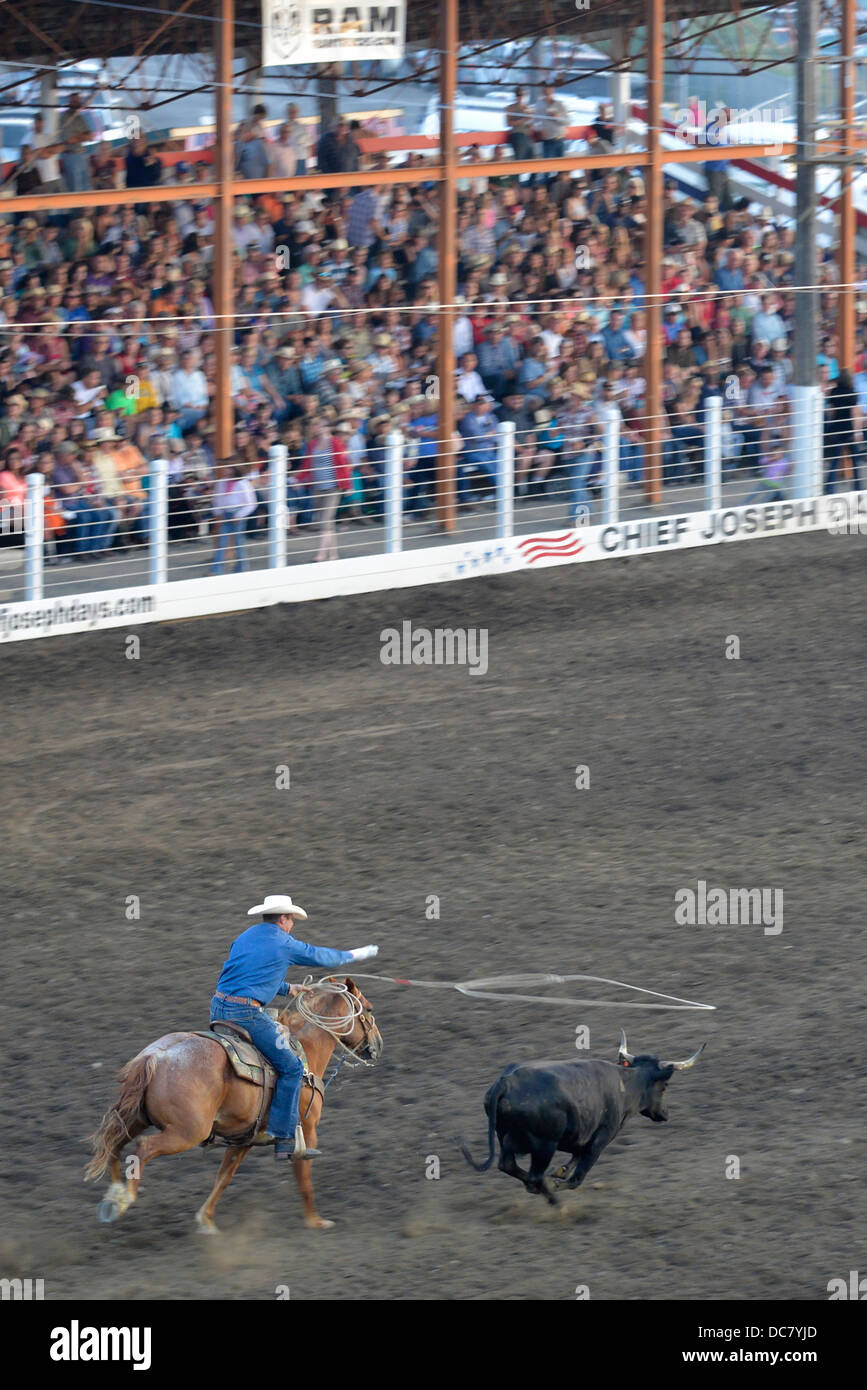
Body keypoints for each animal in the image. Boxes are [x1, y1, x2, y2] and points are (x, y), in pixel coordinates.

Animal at [86, 978, 380, 1239]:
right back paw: (125, 1197)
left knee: (114, 1145)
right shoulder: (306, 1132)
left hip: (136, 1118)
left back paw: (113, 1197)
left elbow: (224, 1177)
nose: (377, 1045)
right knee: (143, 1147)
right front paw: (316, 1221)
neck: (305, 1049)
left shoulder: (243, 1139)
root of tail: (156, 1056)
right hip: (186, 1132)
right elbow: (304, 1176)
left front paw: (206, 1220)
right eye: (368, 1009)